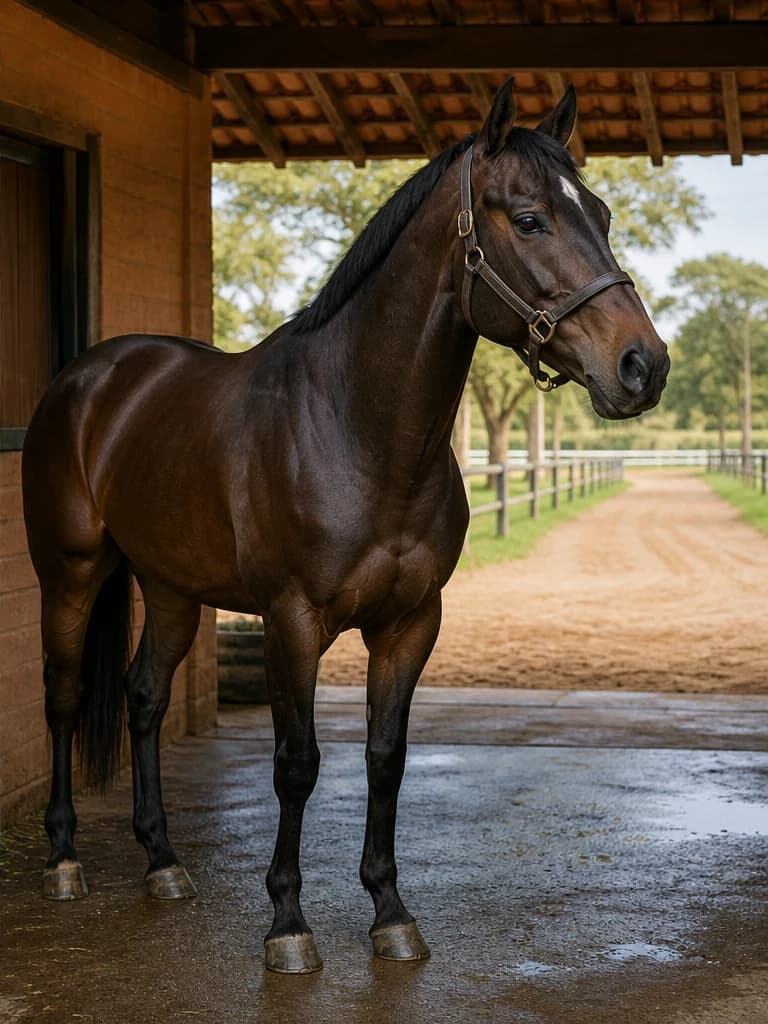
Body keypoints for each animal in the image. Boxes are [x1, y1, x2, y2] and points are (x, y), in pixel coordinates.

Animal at [22, 80, 669, 974]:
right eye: (530, 219)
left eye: (601, 214)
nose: (644, 366)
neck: (358, 428)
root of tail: (88, 379)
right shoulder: (292, 621)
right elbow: (297, 765)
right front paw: (287, 925)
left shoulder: (410, 622)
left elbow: (385, 759)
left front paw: (390, 914)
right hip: (71, 572)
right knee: (63, 694)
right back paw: (63, 862)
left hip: (172, 587)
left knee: (144, 696)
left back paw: (163, 863)